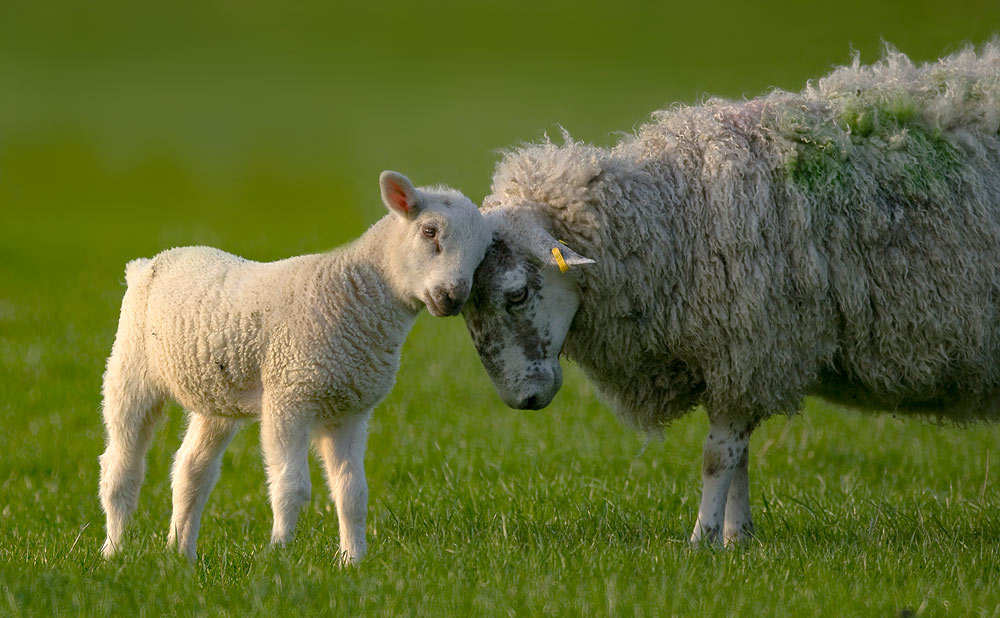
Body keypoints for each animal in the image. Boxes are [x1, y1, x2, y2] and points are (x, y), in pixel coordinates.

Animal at [99, 171, 490, 560]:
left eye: (484, 253)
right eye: (429, 231)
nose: (452, 298)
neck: (357, 299)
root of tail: (149, 263)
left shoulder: (348, 410)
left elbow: (353, 493)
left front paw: (353, 560)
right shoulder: (288, 395)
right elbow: (292, 486)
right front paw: (279, 554)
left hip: (215, 395)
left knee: (191, 469)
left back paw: (181, 553)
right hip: (130, 367)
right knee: (121, 467)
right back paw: (114, 550)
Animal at [460, 44, 1000, 544]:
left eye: (515, 294)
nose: (523, 399)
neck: (675, 219)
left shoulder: (750, 347)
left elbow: (717, 458)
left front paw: (701, 541)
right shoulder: (737, 361)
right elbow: (738, 458)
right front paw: (738, 538)